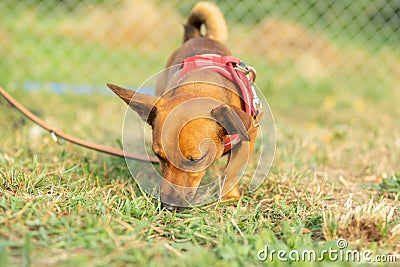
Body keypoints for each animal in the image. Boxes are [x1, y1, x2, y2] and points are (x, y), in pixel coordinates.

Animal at [108, 1, 260, 209]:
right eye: (158, 156)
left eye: (197, 160)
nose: (167, 207)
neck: (199, 86)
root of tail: (197, 36)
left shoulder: (249, 136)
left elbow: (233, 171)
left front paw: (229, 197)